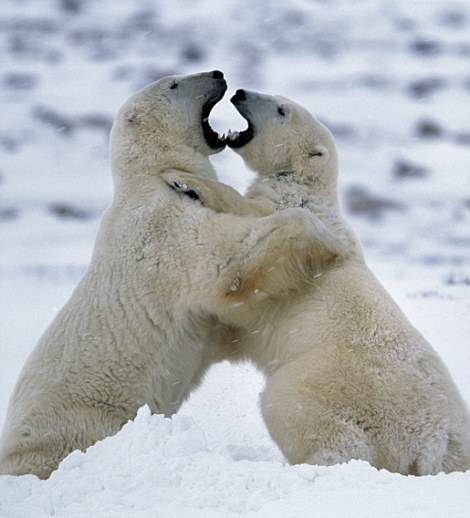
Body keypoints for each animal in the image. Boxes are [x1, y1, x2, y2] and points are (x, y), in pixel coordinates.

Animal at [0, 75, 342, 482]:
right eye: (175, 84)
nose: (218, 74)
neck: (148, 178)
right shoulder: (165, 227)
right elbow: (229, 260)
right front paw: (328, 244)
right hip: (82, 423)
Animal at [167, 91, 470, 478]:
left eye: (281, 109)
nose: (240, 93)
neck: (309, 186)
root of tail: (436, 440)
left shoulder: (291, 210)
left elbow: (251, 215)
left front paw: (183, 180)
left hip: (332, 381)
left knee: (294, 409)